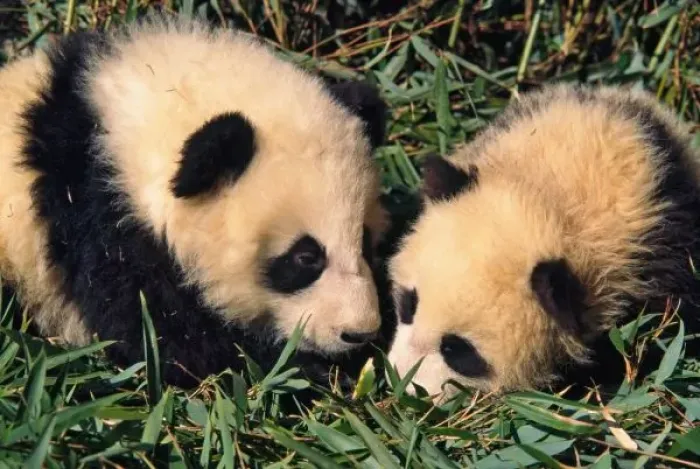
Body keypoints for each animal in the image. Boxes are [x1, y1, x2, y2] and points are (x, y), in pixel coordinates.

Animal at [0, 16, 392, 387]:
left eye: (365, 242)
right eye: (306, 257)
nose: (358, 332)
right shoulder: (97, 215)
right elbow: (165, 336)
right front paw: (305, 368)